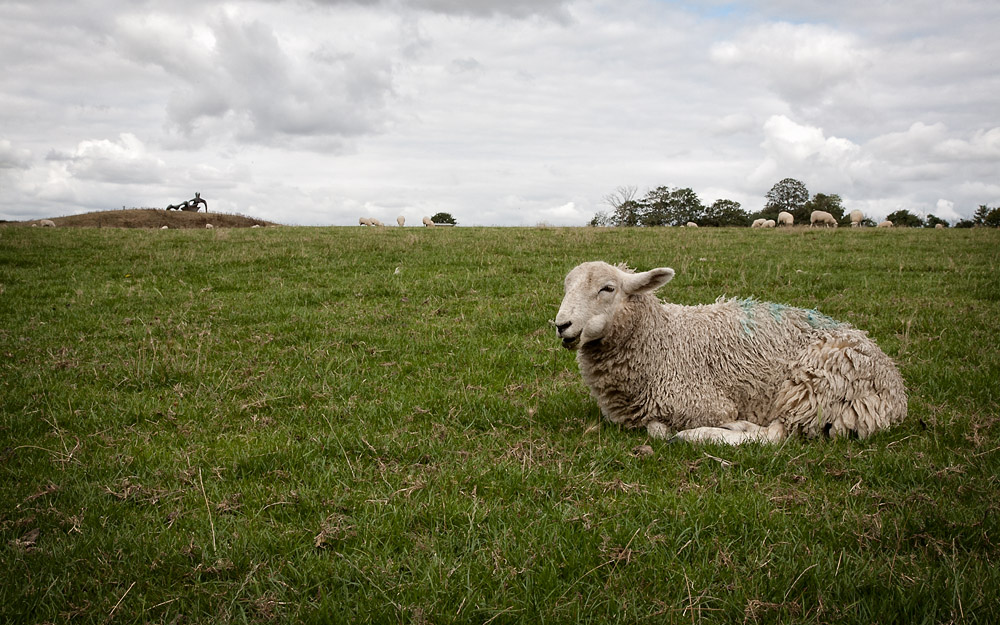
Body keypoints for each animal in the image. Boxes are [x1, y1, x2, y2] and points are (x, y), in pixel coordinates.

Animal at [556, 260, 908, 446]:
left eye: (608, 288)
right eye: (566, 287)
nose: (561, 325)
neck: (663, 340)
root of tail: (896, 388)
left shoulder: (705, 404)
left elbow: (658, 431)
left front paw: (686, 432)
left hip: (811, 390)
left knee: (776, 435)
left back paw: (718, 432)